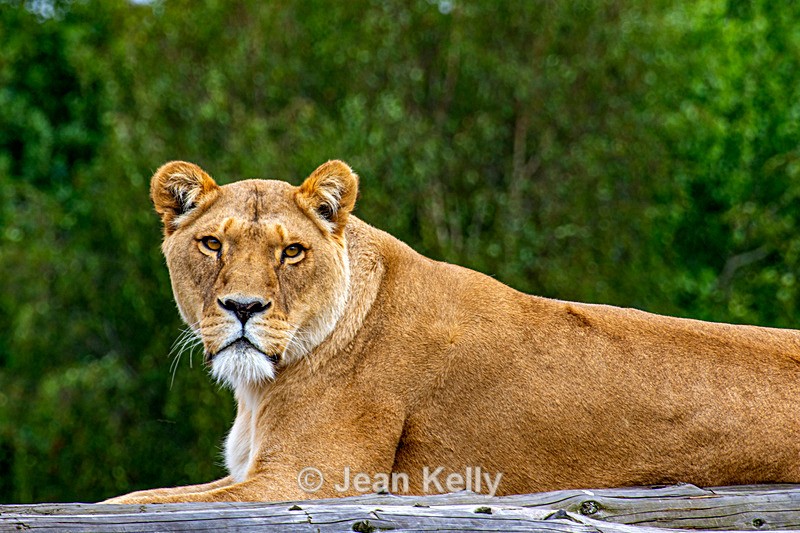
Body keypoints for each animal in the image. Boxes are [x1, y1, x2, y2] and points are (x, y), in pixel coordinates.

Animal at [105, 160, 800, 503]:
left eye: (292, 252)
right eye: (211, 243)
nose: (243, 307)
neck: (262, 386)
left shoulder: (309, 480)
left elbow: (134, 503)